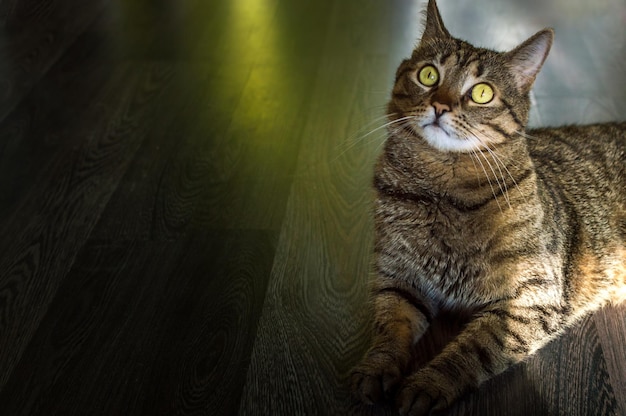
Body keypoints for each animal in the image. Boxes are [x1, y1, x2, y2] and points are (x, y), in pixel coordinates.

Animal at [348, 0, 624, 416]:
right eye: (428, 74)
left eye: (481, 93)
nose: (440, 105)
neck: (442, 186)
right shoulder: (398, 278)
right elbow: (389, 327)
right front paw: (376, 367)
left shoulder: (533, 298)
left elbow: (475, 347)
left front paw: (428, 383)